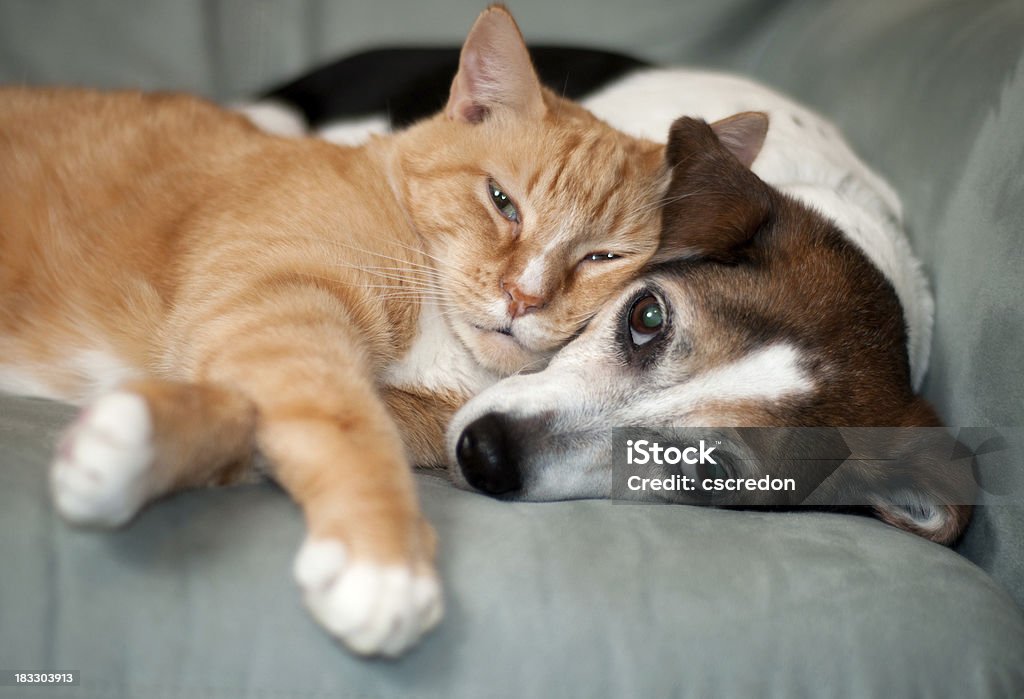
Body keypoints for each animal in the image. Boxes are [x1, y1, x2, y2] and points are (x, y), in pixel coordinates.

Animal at [0, 8, 667, 654]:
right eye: (502, 201)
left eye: (602, 257)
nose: (523, 297)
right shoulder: (280, 307)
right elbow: (345, 422)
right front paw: (384, 564)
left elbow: (248, 420)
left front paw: (128, 447)